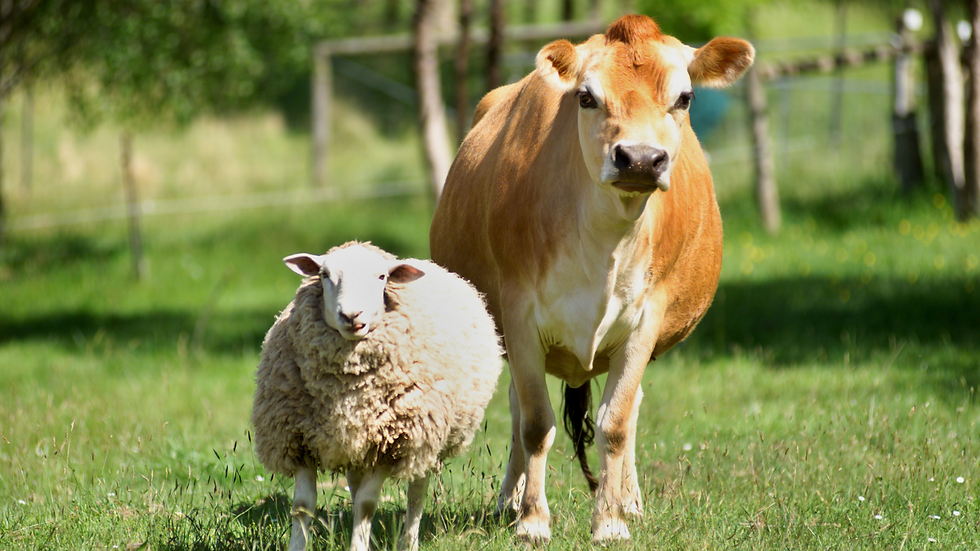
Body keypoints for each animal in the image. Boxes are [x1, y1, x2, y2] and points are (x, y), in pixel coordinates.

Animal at [251, 241, 503, 551]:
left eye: (382, 277)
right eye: (324, 274)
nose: (351, 316)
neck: (345, 386)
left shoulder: (391, 444)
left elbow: (367, 505)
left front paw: (358, 546)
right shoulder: (297, 438)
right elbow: (302, 506)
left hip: (424, 438)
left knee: (416, 492)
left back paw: (409, 542)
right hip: (356, 441)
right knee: (355, 480)